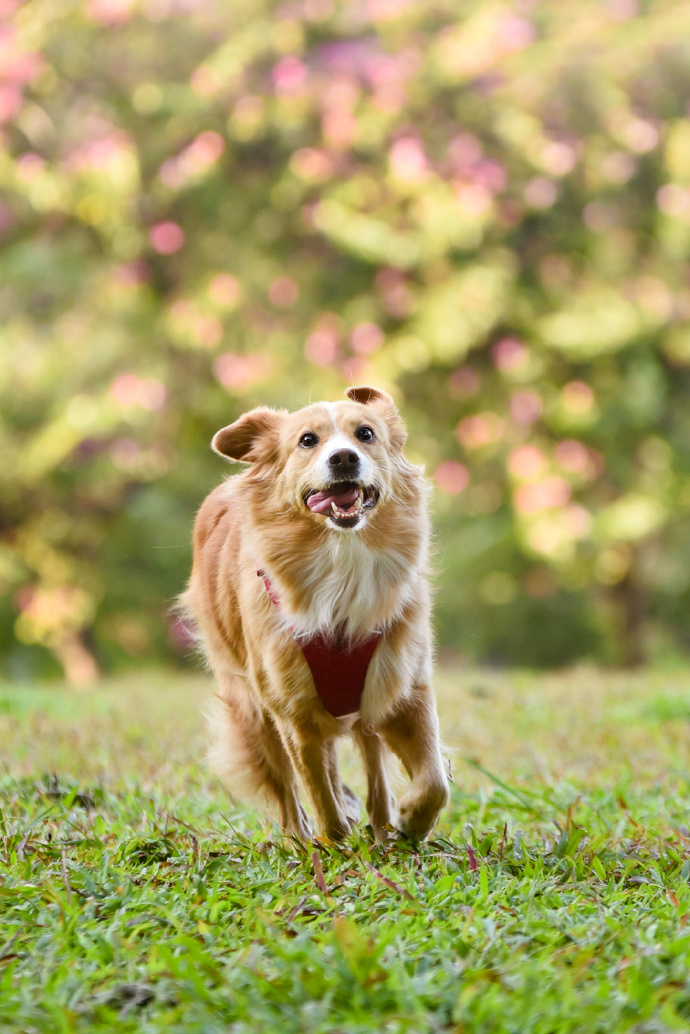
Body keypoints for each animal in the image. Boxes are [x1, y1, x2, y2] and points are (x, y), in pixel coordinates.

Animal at [181, 386, 451, 839]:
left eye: (366, 433)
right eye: (308, 440)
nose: (343, 458)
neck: (342, 559)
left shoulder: (402, 688)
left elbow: (434, 781)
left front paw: (412, 820)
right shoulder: (294, 713)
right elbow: (321, 797)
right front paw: (335, 843)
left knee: (372, 764)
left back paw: (382, 829)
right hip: (253, 708)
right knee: (288, 789)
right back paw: (302, 839)